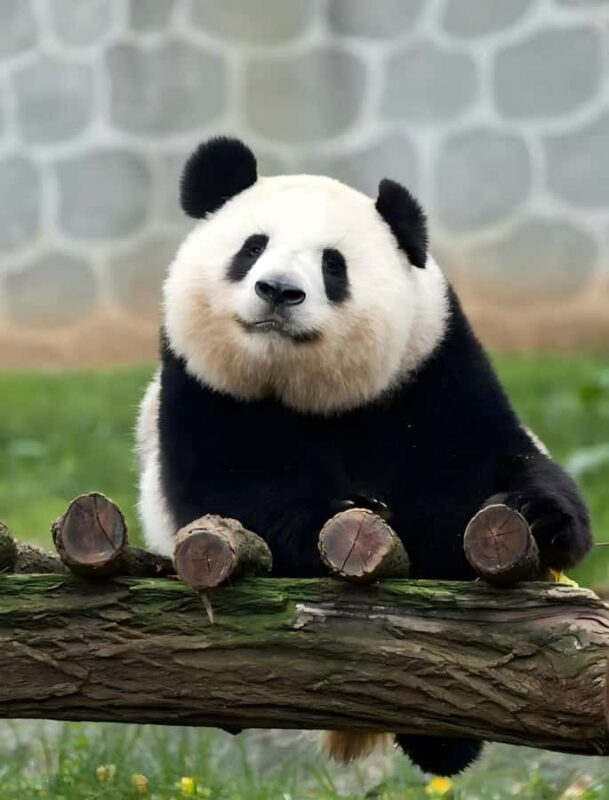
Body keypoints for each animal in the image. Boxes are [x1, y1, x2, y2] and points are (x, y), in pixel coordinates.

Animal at [136, 136, 592, 777]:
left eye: (334, 265)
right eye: (252, 247)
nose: (279, 291)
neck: (306, 392)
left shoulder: (432, 369)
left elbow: (491, 461)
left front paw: (537, 514)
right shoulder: (202, 387)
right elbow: (237, 491)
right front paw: (354, 510)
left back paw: (442, 746)